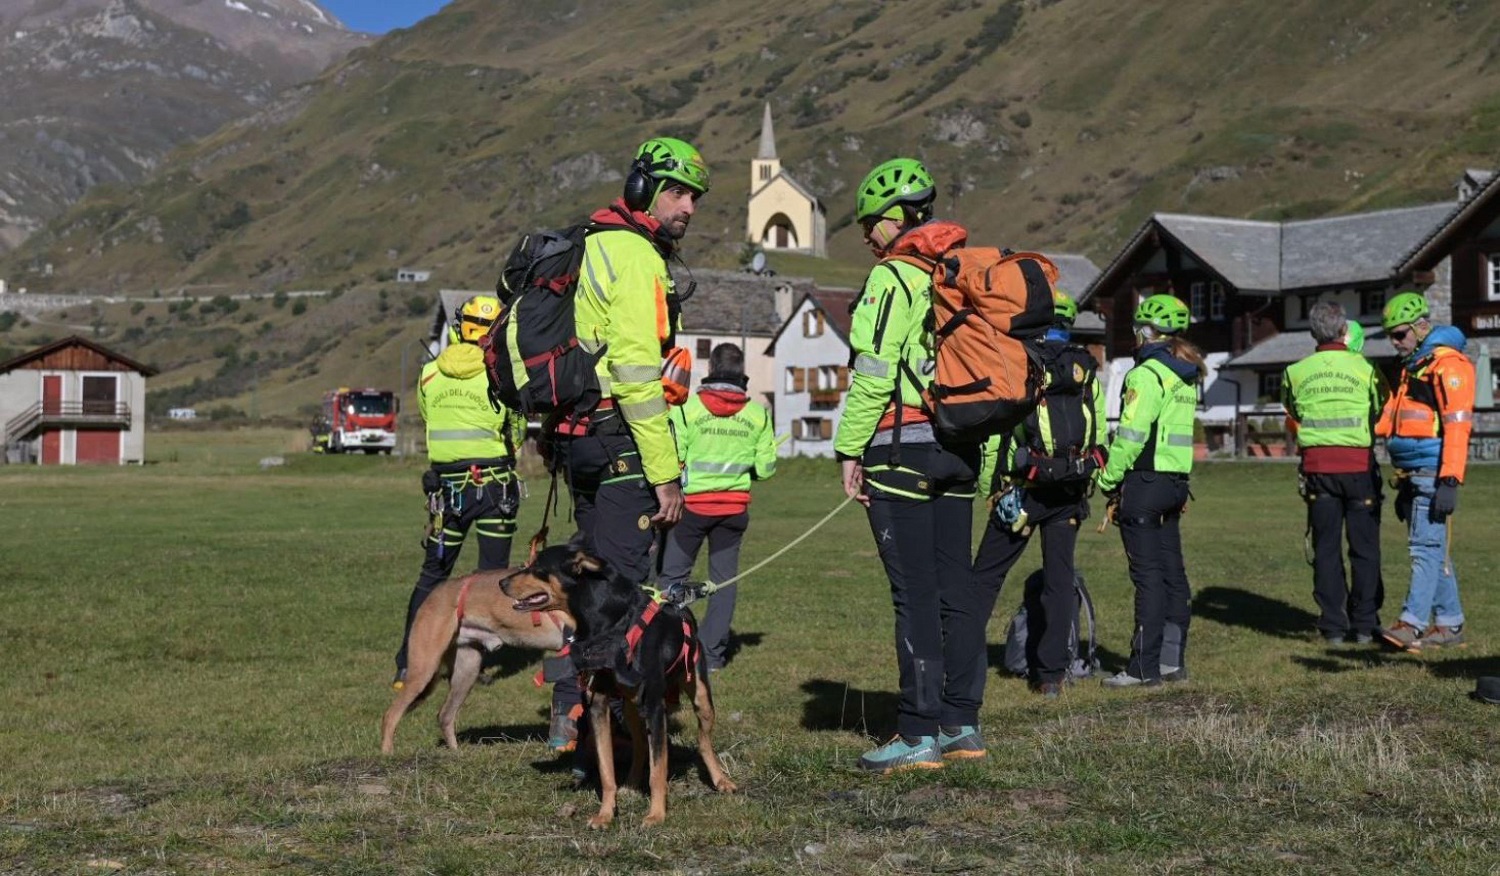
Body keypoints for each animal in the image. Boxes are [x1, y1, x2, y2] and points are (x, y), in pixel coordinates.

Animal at [381, 564, 573, 756]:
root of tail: (435, 592)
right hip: (424, 669)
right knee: (391, 714)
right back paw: (387, 753)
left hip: (467, 670)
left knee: (444, 715)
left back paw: (456, 754)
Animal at [504, 546, 738, 828]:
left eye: (538, 568)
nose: (501, 583)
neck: (607, 626)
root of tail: (680, 607)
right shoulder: (598, 705)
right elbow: (607, 771)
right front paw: (605, 815)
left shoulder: (655, 707)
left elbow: (658, 770)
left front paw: (656, 814)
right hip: (630, 710)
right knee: (639, 746)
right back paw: (631, 784)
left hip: (700, 695)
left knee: (703, 741)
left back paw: (721, 780)